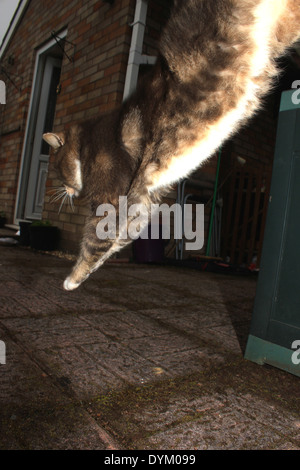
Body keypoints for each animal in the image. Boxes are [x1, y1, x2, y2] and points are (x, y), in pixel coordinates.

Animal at [42, 0, 300, 288]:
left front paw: (72, 279)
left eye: (58, 171)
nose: (64, 190)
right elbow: (118, 239)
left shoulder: (108, 198)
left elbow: (94, 240)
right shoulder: (140, 202)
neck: (85, 146)